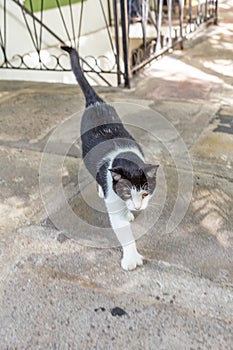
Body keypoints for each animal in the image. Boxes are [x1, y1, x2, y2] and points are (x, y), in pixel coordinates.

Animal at [61, 46, 158, 270]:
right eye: (126, 192)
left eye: (145, 193)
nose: (137, 206)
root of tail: (95, 102)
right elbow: (122, 230)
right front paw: (131, 258)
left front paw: (130, 212)